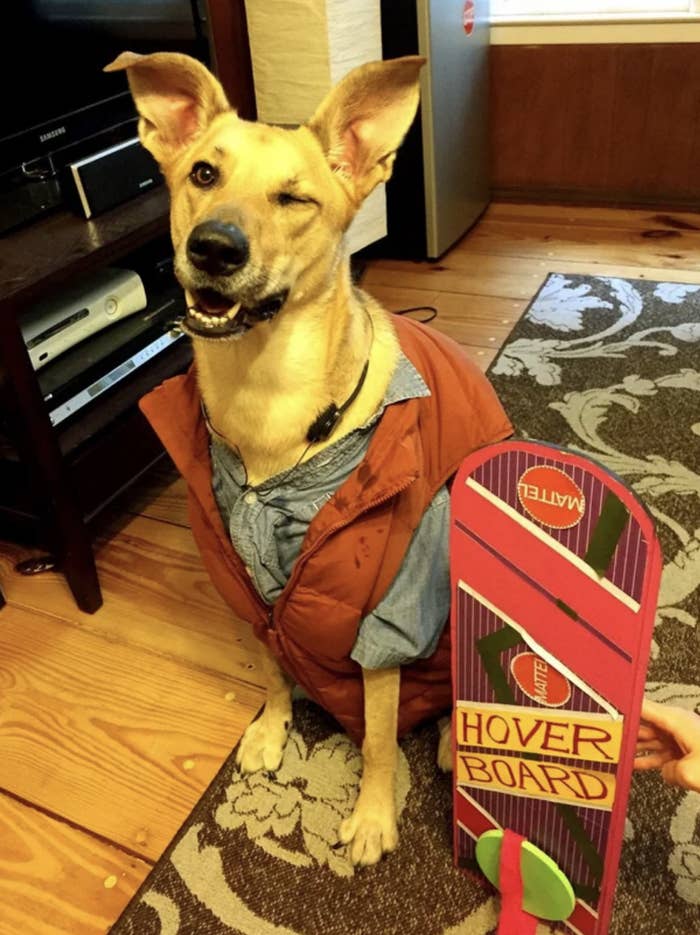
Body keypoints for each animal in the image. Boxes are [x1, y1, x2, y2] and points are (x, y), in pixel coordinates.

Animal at [106, 51, 512, 872]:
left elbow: (382, 734)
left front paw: (373, 814)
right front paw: (271, 724)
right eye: (203, 173)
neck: (264, 396)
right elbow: (269, 662)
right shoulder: (239, 579)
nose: (214, 247)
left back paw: (451, 740)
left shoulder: (387, 609)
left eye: (293, 197)